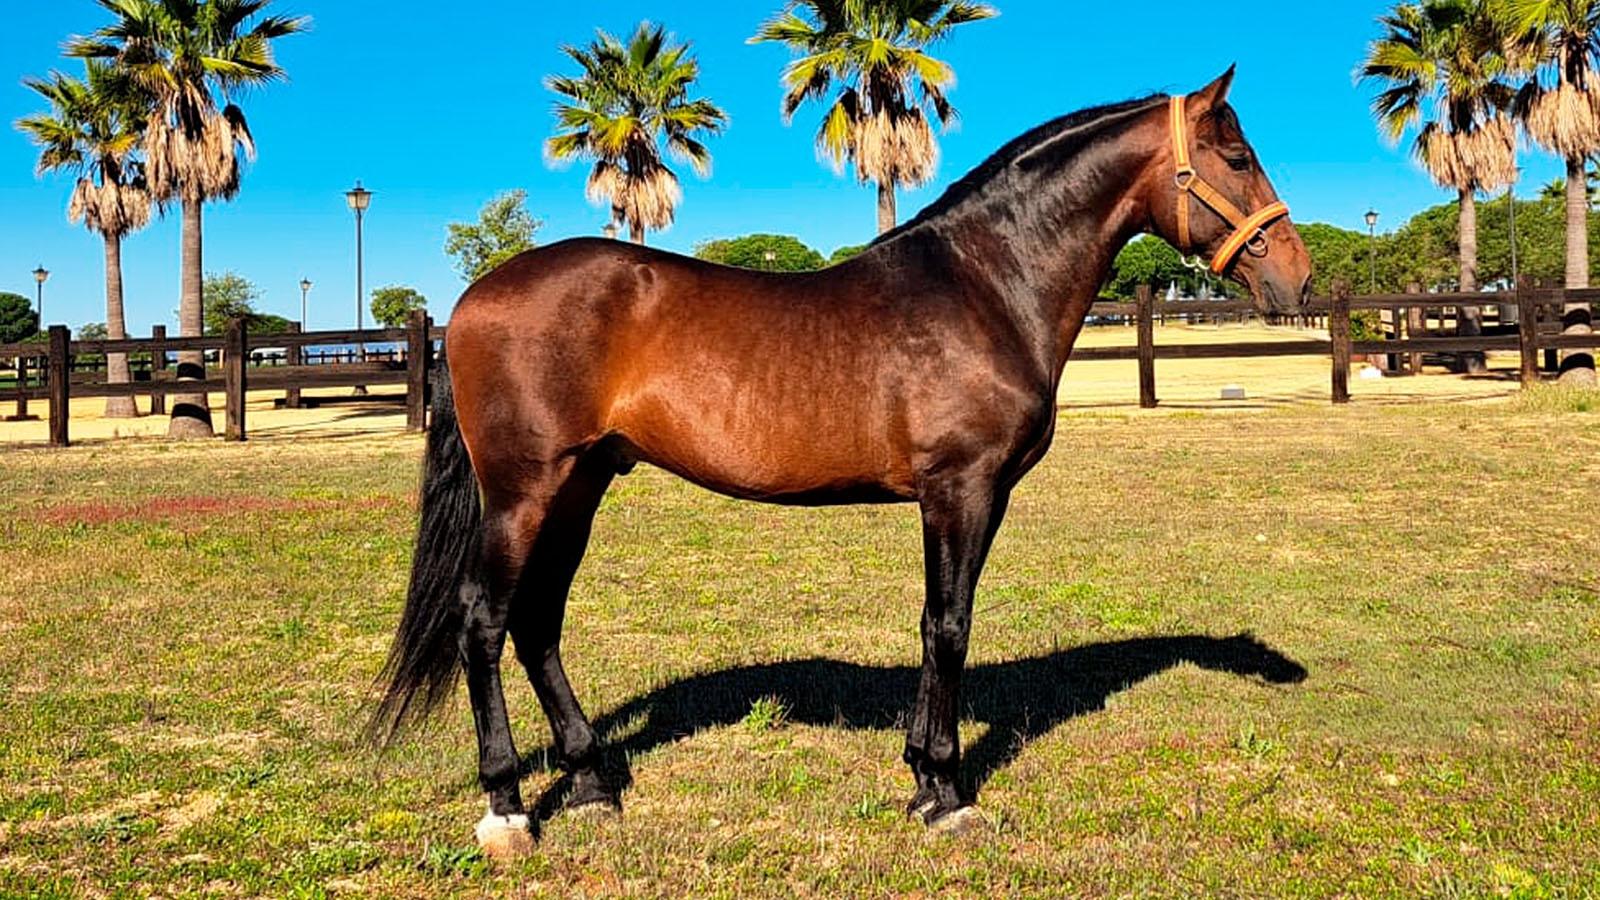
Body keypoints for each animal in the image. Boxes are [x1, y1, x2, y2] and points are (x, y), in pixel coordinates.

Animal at [371, 66, 1312, 851]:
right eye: (1237, 156)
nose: (1296, 281)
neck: (985, 284)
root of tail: (470, 300)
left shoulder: (965, 496)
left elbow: (936, 625)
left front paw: (923, 777)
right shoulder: (961, 491)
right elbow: (949, 625)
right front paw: (946, 791)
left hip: (581, 483)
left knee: (537, 622)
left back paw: (595, 783)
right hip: (523, 492)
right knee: (484, 622)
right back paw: (507, 809)